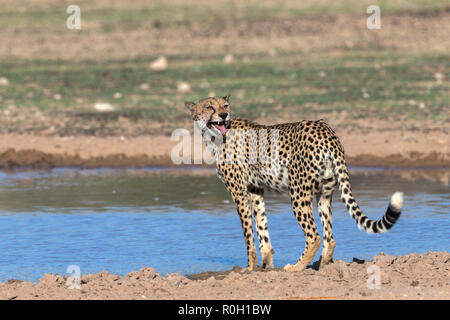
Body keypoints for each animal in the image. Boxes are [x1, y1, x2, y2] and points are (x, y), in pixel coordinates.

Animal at [185, 95, 402, 272]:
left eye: (225, 105)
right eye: (209, 107)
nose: (223, 115)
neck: (215, 136)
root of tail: (325, 129)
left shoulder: (238, 191)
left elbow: (248, 232)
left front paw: (249, 268)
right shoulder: (255, 189)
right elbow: (262, 226)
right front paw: (266, 265)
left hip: (298, 192)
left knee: (314, 236)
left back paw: (296, 267)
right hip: (324, 192)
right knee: (329, 237)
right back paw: (322, 266)